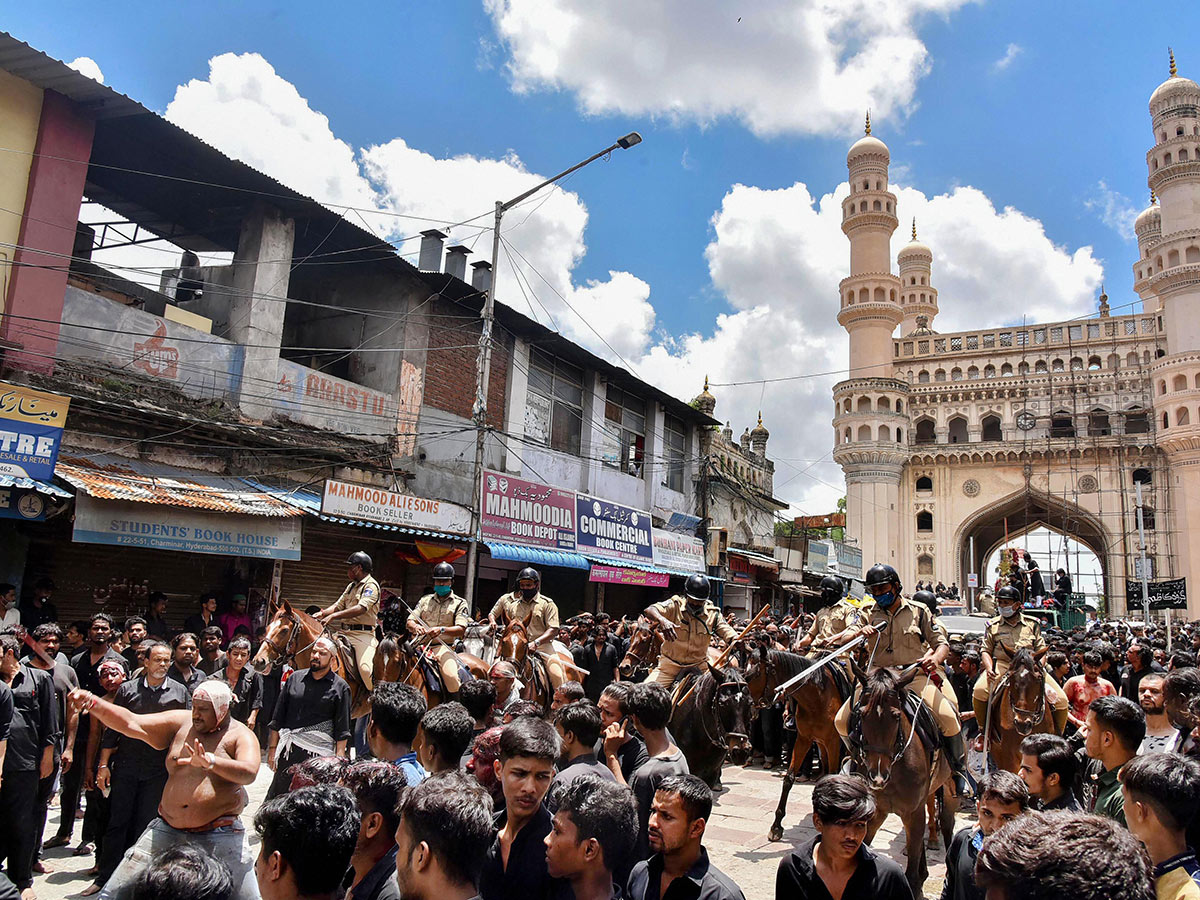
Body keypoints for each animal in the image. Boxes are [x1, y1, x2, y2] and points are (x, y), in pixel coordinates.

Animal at [854, 667, 955, 892]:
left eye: (896, 716)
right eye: (862, 714)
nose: (877, 776)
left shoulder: (912, 812)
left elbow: (911, 874)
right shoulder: (877, 812)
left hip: (949, 788)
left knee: (947, 823)